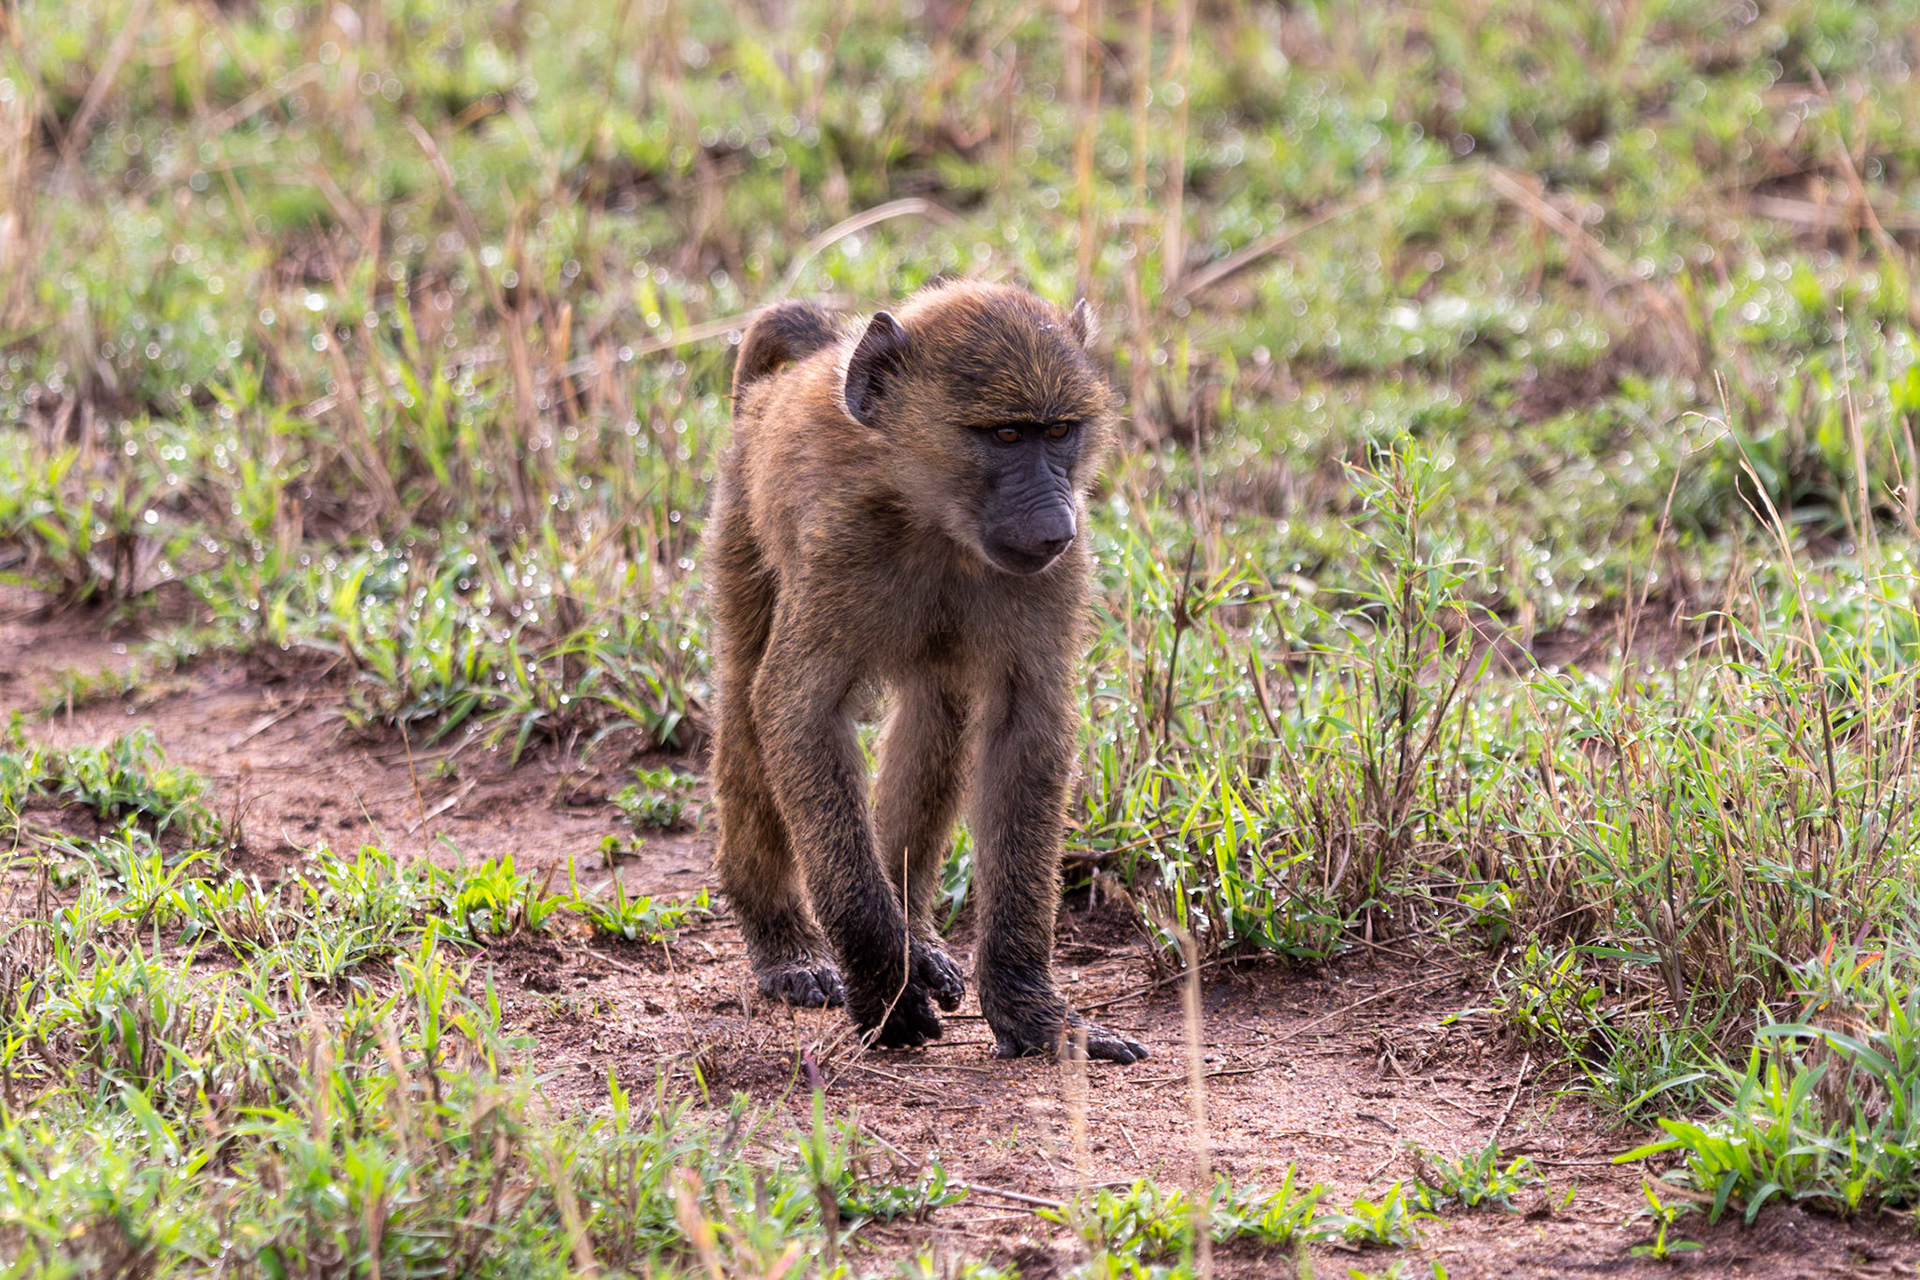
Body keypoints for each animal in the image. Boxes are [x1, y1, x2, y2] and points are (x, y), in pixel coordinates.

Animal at [703, 279, 1148, 1064]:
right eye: (1006, 436)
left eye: (1059, 432)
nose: (1055, 528)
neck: (935, 523)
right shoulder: (839, 550)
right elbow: (798, 710)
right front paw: (884, 988)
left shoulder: (1050, 582)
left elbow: (1024, 727)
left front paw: (1031, 1008)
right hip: (739, 528)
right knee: (745, 703)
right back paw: (786, 941)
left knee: (937, 707)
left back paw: (918, 933)